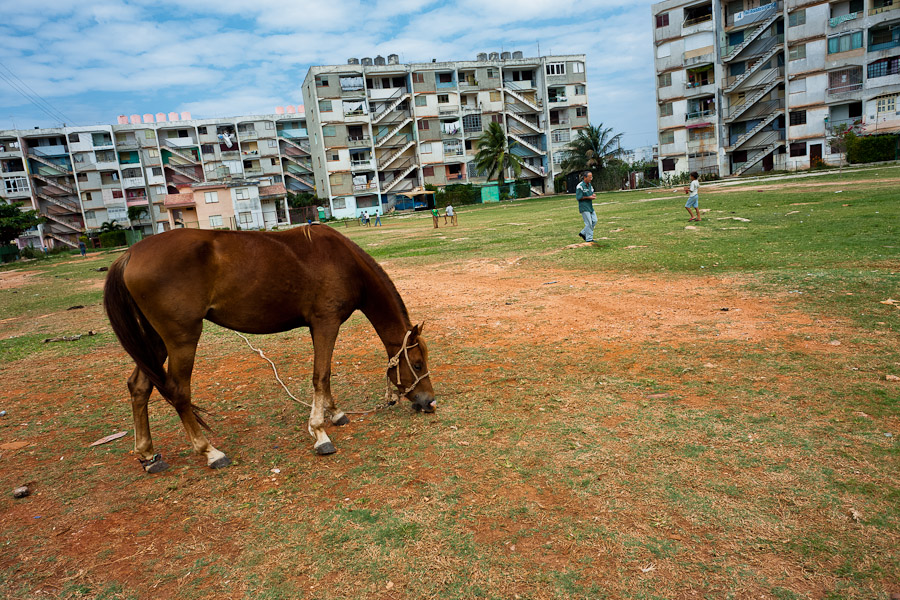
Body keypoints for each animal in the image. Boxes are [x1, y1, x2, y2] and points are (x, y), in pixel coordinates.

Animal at [103, 224, 434, 474]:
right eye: (417, 364)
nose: (429, 401)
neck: (343, 261)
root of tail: (130, 254)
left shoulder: (318, 327)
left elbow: (323, 376)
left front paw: (335, 412)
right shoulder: (326, 322)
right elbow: (321, 375)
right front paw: (320, 433)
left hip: (154, 341)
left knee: (139, 387)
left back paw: (148, 455)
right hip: (181, 339)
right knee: (179, 392)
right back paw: (210, 452)